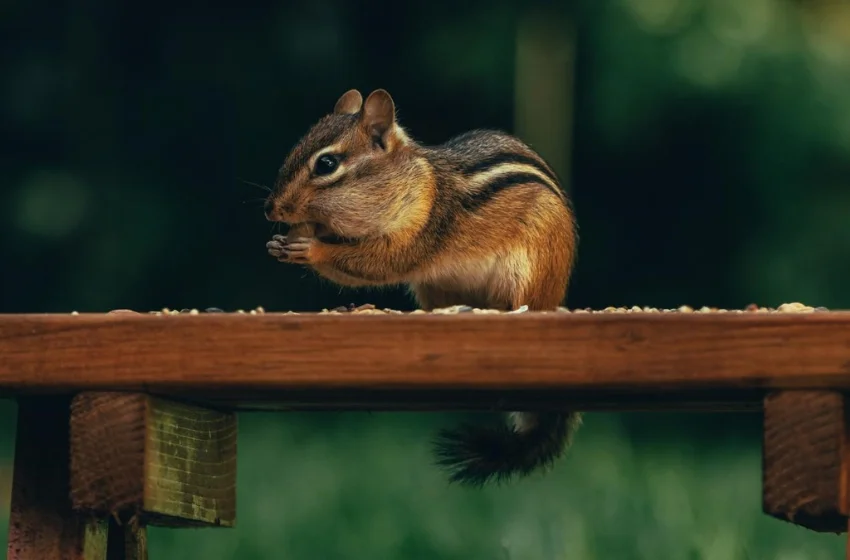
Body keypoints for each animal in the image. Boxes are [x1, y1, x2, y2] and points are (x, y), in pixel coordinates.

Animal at [264, 88, 581, 487]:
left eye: (326, 164)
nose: (270, 209)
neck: (411, 182)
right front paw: (279, 244)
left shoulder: (422, 224)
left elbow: (381, 262)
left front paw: (310, 249)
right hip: (433, 288)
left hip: (529, 272)